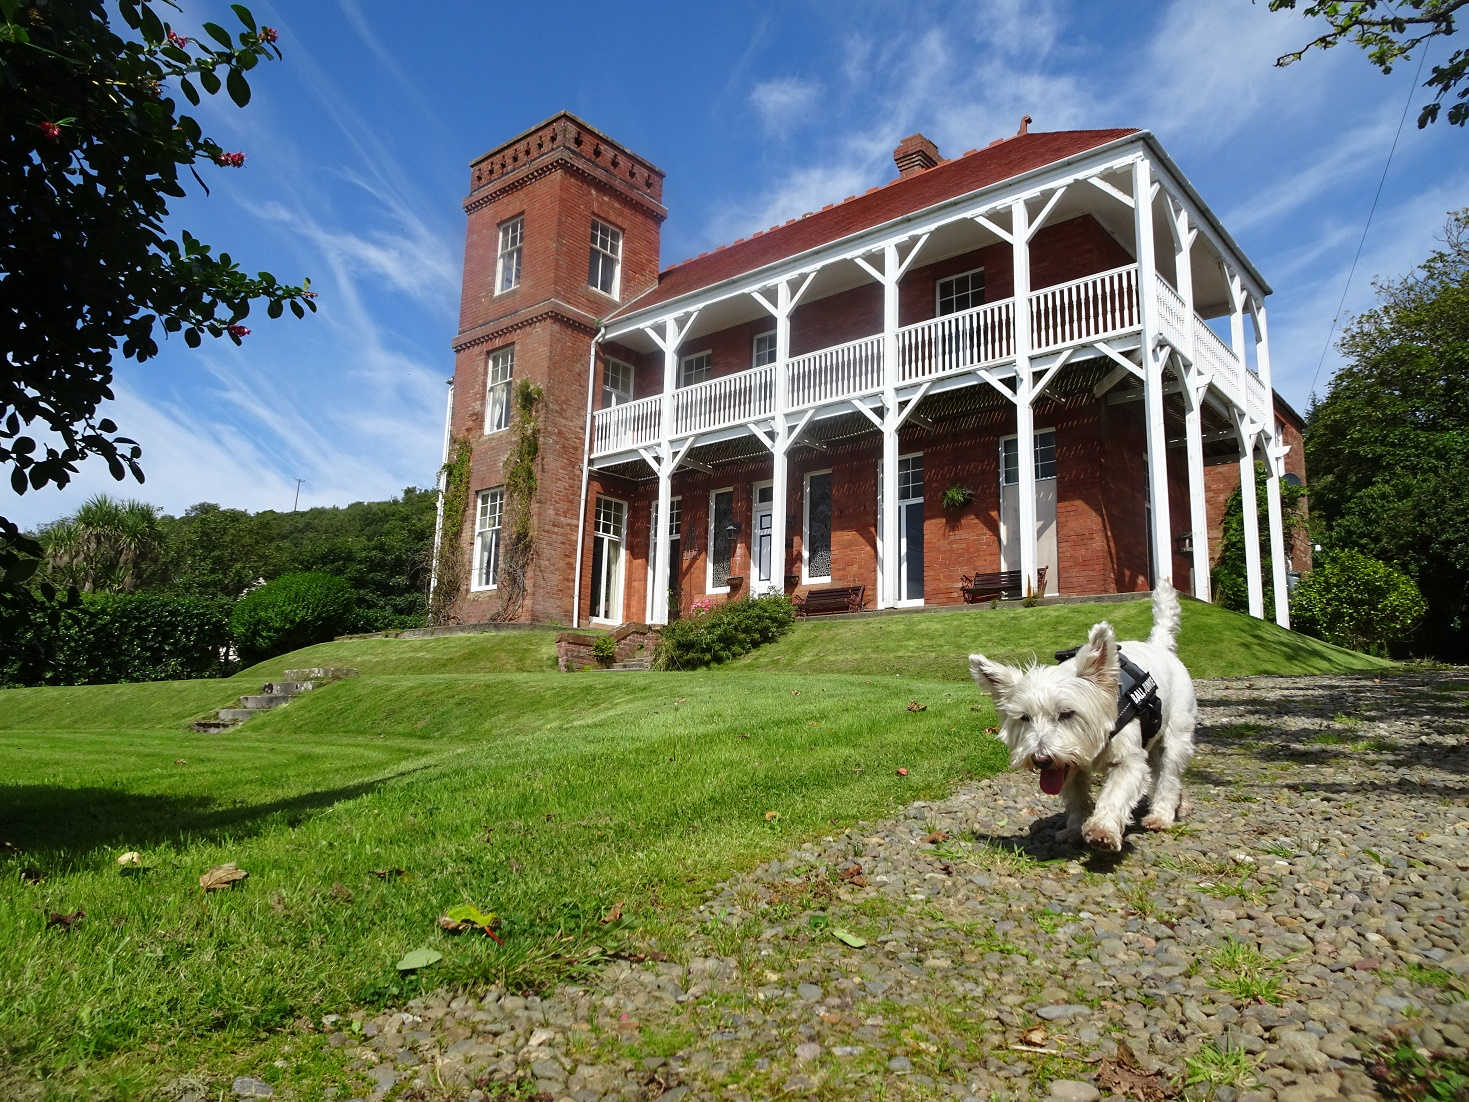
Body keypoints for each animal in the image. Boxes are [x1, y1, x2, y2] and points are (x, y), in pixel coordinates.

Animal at [975, 587, 1192, 852]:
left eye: (1067, 713)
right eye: (1025, 717)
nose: (1040, 759)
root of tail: (1159, 646)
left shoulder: (1128, 760)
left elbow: (1115, 794)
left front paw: (1102, 829)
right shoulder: (1069, 766)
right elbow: (1076, 798)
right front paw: (1074, 830)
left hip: (1176, 736)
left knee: (1168, 776)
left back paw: (1161, 815)